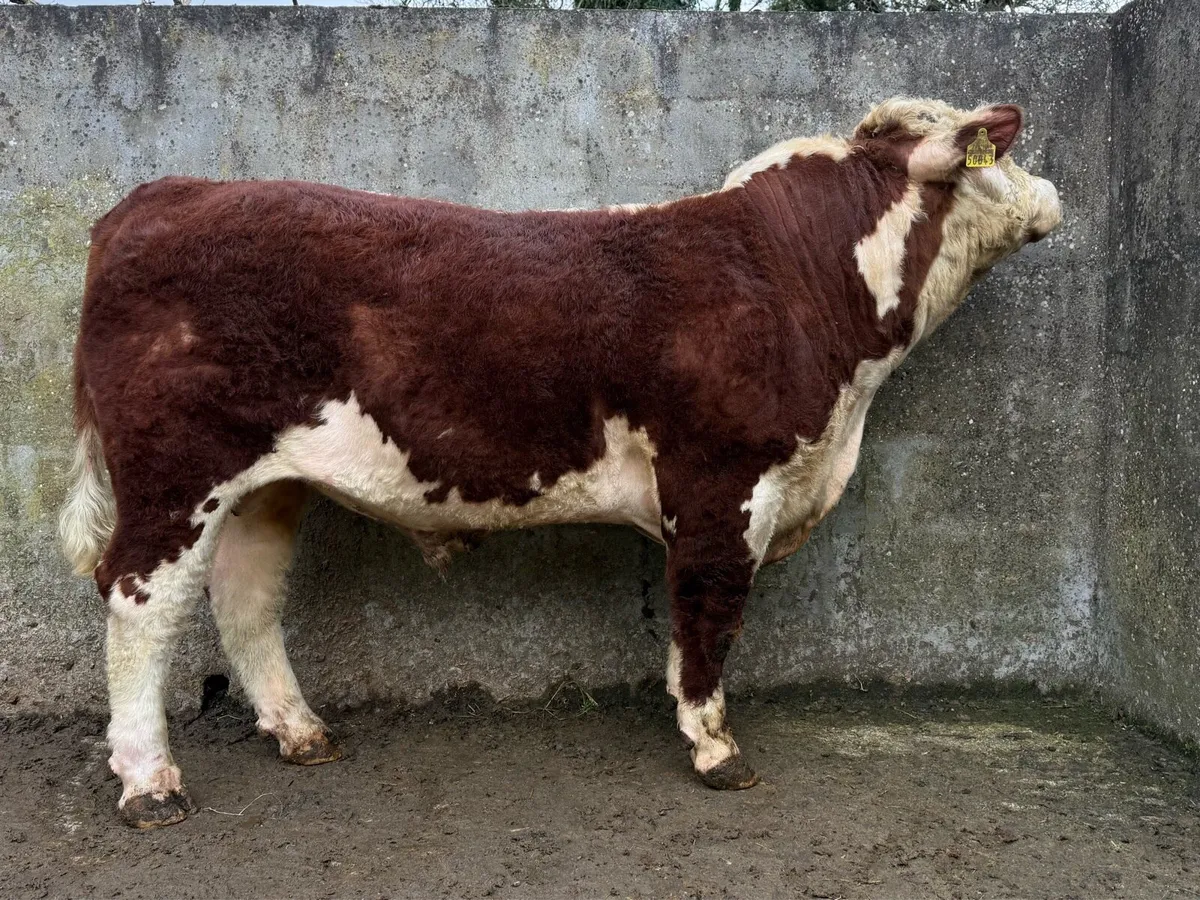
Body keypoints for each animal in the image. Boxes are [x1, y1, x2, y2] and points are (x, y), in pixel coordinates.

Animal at [58, 98, 1061, 828]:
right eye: (1000, 155)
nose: (1053, 193)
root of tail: (160, 196)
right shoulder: (720, 483)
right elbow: (708, 616)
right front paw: (715, 747)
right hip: (176, 471)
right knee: (141, 602)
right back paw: (150, 784)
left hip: (267, 483)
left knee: (246, 596)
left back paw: (300, 732)